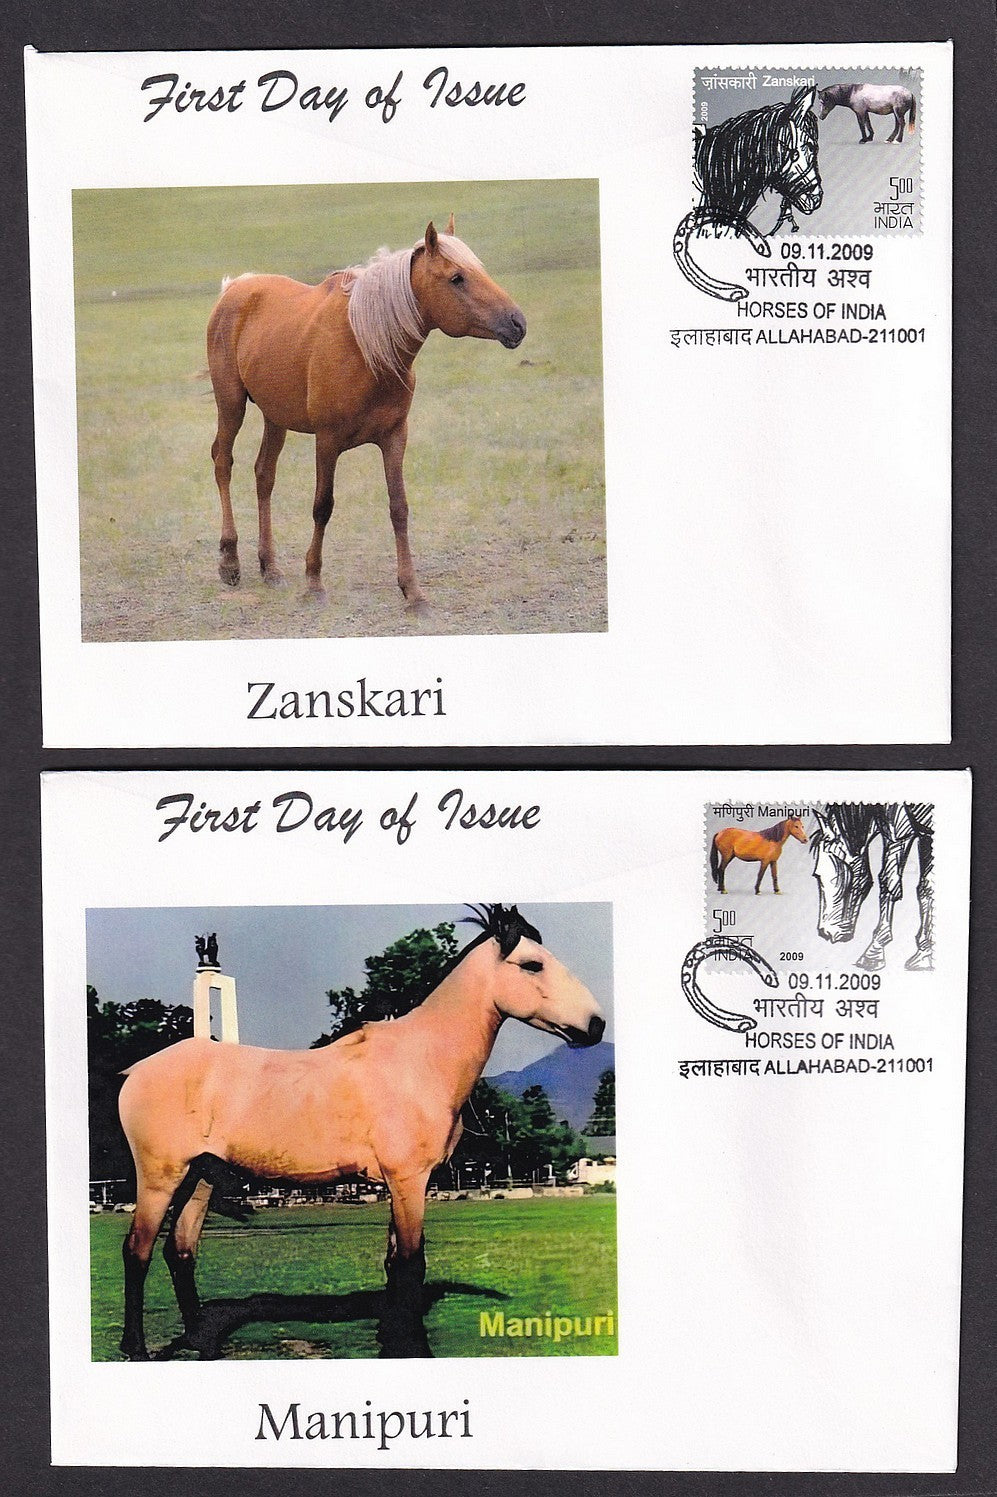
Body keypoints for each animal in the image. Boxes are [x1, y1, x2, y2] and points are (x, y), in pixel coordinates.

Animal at [116, 904, 603, 1361]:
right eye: (532, 964)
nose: (596, 1025)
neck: (418, 1062)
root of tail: (134, 1071)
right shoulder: (408, 1180)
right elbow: (410, 1264)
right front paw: (414, 1346)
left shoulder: (399, 1184)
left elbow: (393, 1263)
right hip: (160, 1178)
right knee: (138, 1252)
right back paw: (135, 1347)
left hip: (200, 1178)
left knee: (180, 1252)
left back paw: (201, 1339)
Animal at [205, 216, 526, 610]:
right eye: (457, 278)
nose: (517, 323)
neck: (365, 347)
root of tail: (235, 288)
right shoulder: (327, 442)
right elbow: (322, 506)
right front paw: (314, 582)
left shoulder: (394, 438)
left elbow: (399, 508)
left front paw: (413, 591)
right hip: (230, 404)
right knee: (223, 462)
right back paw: (229, 561)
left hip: (274, 416)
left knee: (264, 476)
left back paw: (271, 568)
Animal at [810, 803, 933, 971]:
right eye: (817, 876)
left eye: (839, 873)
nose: (825, 933)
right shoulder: (904, 832)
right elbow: (898, 883)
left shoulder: (916, 832)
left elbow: (919, 886)